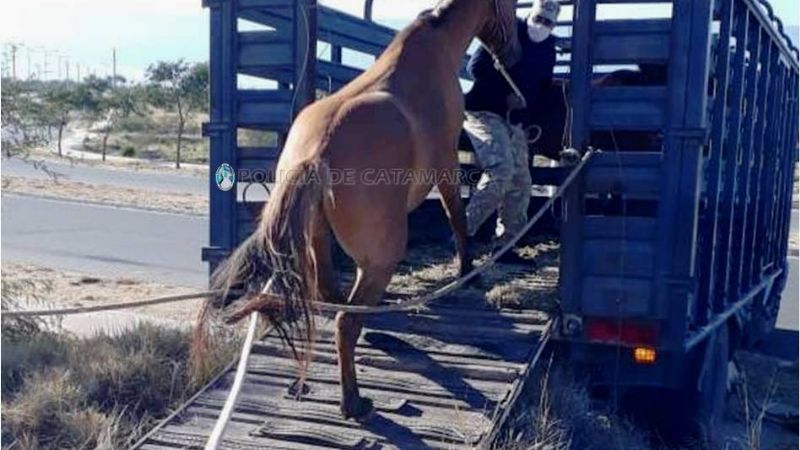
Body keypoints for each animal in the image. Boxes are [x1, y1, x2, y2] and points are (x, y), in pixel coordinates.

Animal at [197, 0, 522, 421]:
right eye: (513, 9)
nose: (514, 54)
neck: (436, 48)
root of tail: (316, 155)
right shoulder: (447, 165)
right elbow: (457, 217)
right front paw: (467, 271)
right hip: (381, 258)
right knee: (345, 321)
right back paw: (354, 402)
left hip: (319, 244)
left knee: (333, 299)